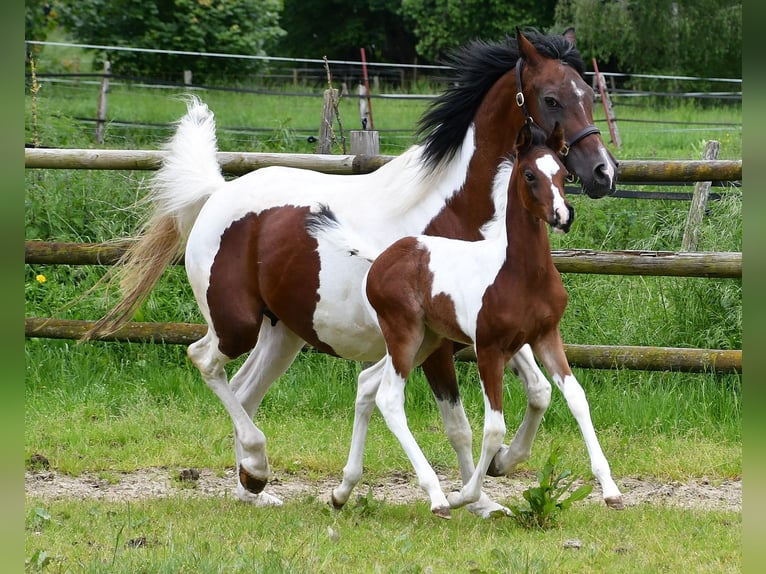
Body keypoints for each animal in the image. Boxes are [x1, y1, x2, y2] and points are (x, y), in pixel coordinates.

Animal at [307, 120, 580, 517]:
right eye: (530, 174)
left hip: (425, 342)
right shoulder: (489, 348)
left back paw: (343, 490)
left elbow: (564, 396)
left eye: (563, 174)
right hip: (406, 337)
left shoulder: (539, 336)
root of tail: (383, 256)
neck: (517, 270)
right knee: (390, 398)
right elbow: (489, 428)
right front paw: (469, 493)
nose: (563, 215)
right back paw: (436, 495)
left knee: (368, 383)